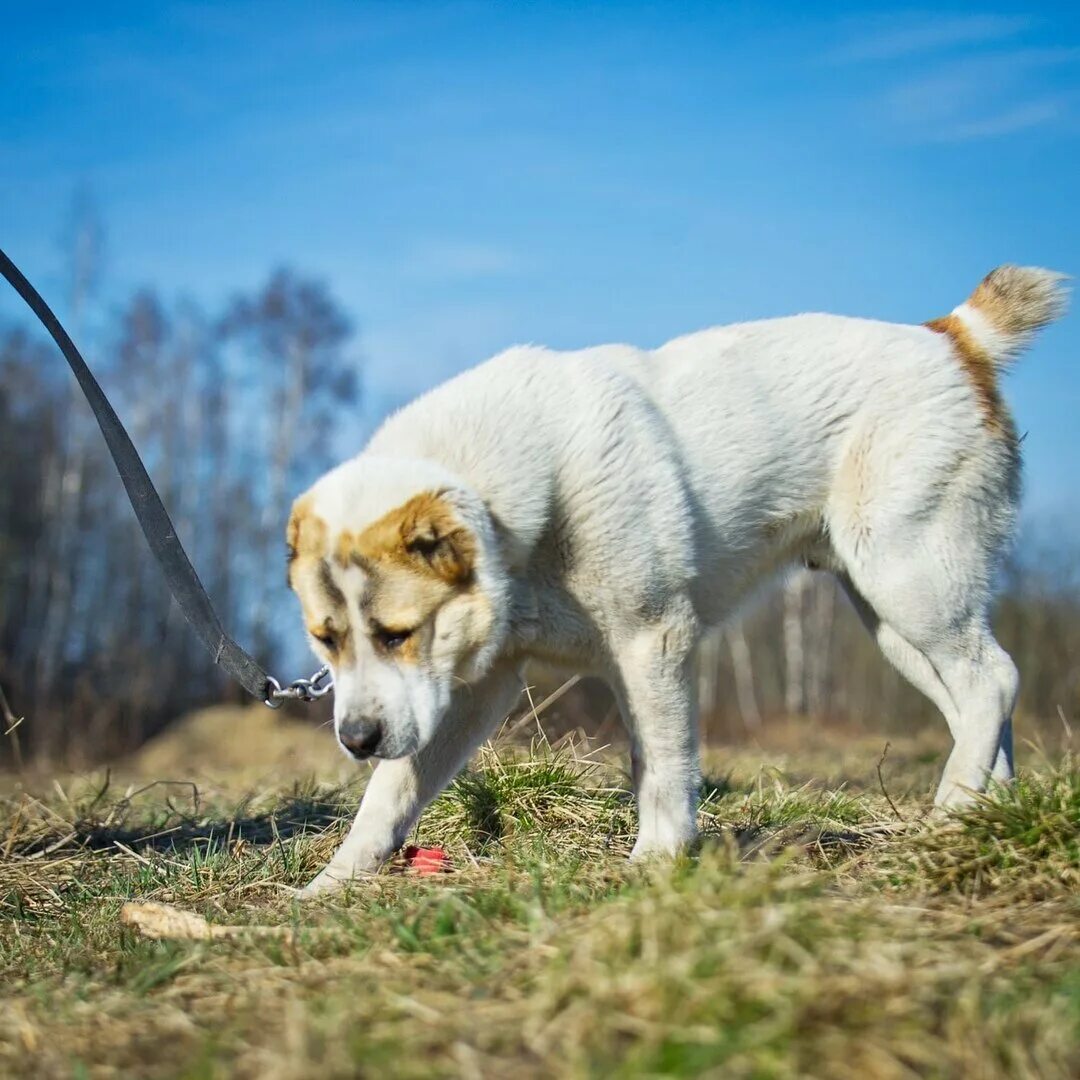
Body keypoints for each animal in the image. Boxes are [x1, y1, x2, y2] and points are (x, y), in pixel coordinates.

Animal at [289, 263, 1071, 894]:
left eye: (397, 634)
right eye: (327, 639)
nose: (355, 738)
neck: (516, 515)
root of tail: (952, 339)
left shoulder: (652, 640)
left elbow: (663, 764)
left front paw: (656, 864)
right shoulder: (475, 691)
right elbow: (390, 795)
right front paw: (328, 887)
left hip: (909, 581)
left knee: (993, 680)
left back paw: (952, 811)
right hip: (896, 621)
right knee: (975, 699)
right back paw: (980, 820)